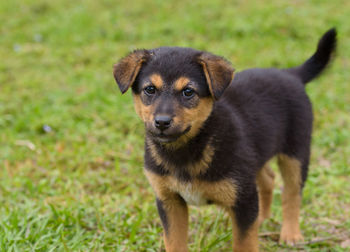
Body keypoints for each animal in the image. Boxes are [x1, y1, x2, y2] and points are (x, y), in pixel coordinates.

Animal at [113, 28, 336, 251]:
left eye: (188, 92)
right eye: (150, 89)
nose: (161, 122)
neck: (188, 148)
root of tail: (290, 74)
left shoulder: (243, 198)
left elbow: (245, 243)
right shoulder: (169, 200)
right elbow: (175, 242)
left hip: (295, 153)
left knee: (292, 192)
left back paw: (291, 234)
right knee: (268, 179)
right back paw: (262, 219)